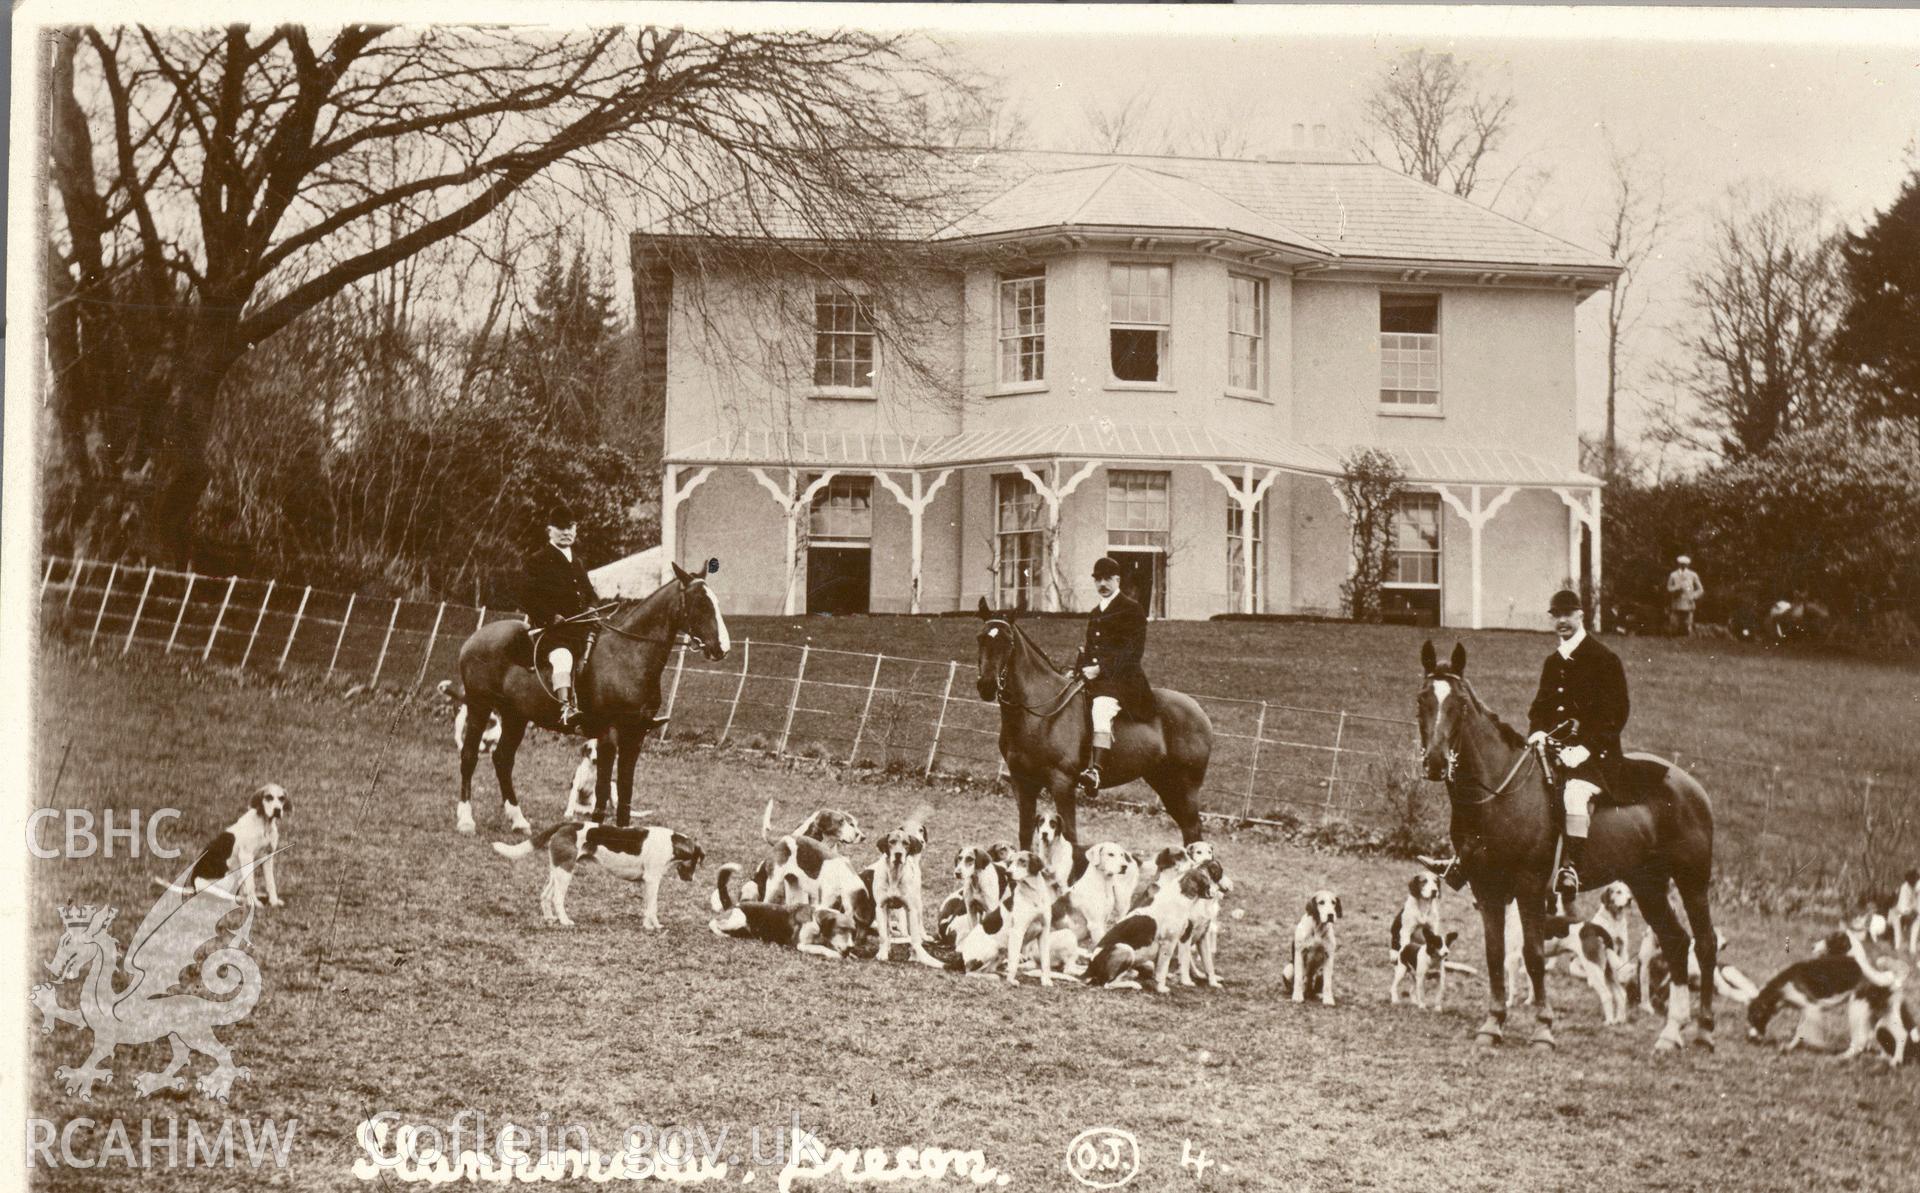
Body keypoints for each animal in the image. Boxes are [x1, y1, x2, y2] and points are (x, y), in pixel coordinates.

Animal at [453, 564, 729, 833]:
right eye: (701, 603)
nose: (722, 649)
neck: (627, 656)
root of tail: (474, 638)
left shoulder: (635, 736)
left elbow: (625, 789)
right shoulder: (608, 734)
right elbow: (603, 788)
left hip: (515, 716)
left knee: (502, 759)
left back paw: (518, 821)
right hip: (479, 706)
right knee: (469, 756)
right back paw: (466, 821)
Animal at [983, 603, 1205, 845]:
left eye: (1007, 641)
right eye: (980, 639)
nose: (985, 686)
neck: (1041, 712)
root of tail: (1198, 709)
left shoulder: (1062, 784)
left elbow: (1070, 836)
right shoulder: (1022, 783)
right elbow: (1025, 834)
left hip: (1185, 787)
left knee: (1193, 829)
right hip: (1164, 783)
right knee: (1189, 831)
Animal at [1420, 641, 1720, 1052]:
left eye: (1460, 704)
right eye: (1422, 699)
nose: (1435, 763)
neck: (1499, 794)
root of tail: (1691, 784)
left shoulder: (1530, 886)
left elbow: (1532, 955)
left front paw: (1543, 1030)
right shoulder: (1487, 886)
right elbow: (1495, 954)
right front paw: (1492, 1025)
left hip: (1692, 880)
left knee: (1704, 944)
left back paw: (1703, 1032)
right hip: (1648, 883)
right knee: (1676, 943)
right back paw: (1671, 1033)